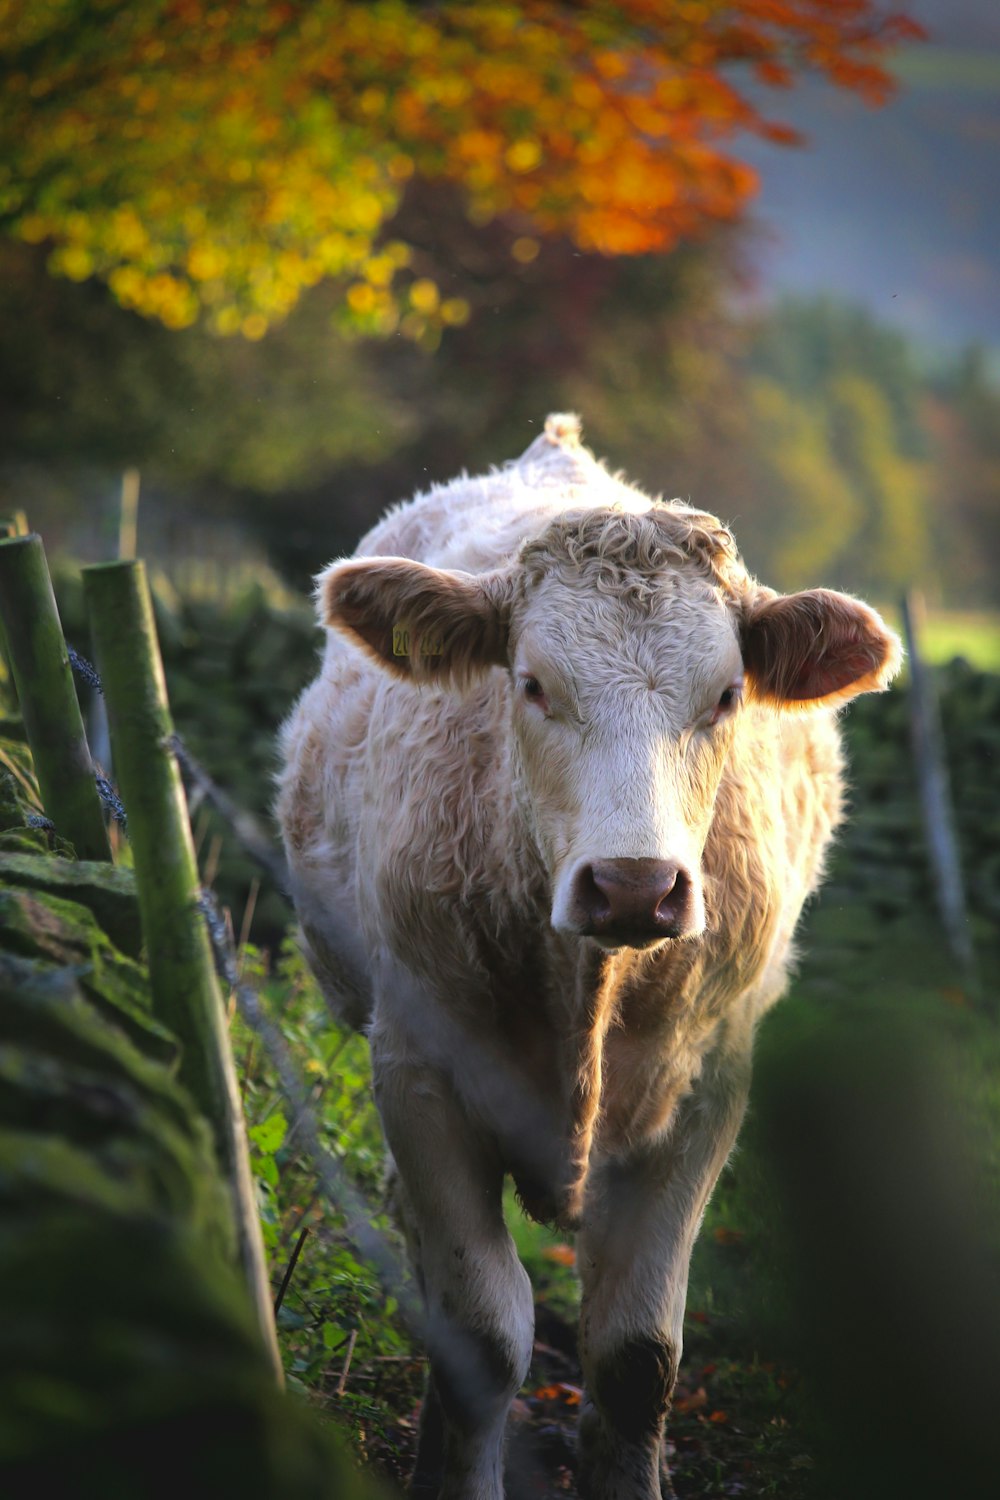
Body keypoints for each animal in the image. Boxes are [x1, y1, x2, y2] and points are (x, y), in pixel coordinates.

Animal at [277, 414, 905, 1500]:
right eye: (531, 685)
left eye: (727, 694)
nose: (634, 885)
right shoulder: (418, 1070)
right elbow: (483, 1334)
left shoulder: (707, 1091)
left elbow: (636, 1355)